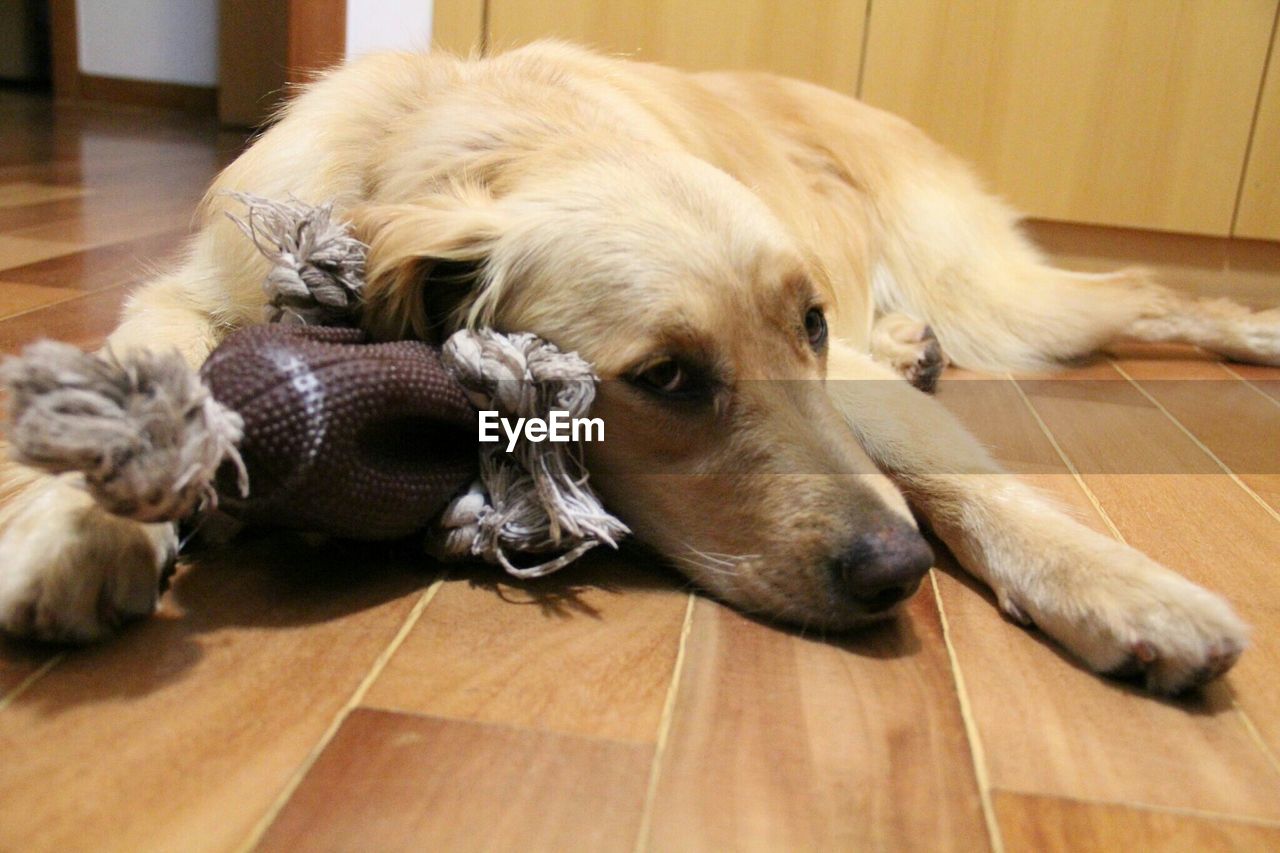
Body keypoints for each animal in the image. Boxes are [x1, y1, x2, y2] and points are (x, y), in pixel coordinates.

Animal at [0, 41, 1269, 691]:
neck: (480, 132)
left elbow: (963, 479)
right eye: (665, 378)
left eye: (806, 325)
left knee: (1142, 288)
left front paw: (1121, 587)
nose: (895, 571)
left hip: (997, 292)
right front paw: (76, 522)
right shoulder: (196, 286)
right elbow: (144, 355)